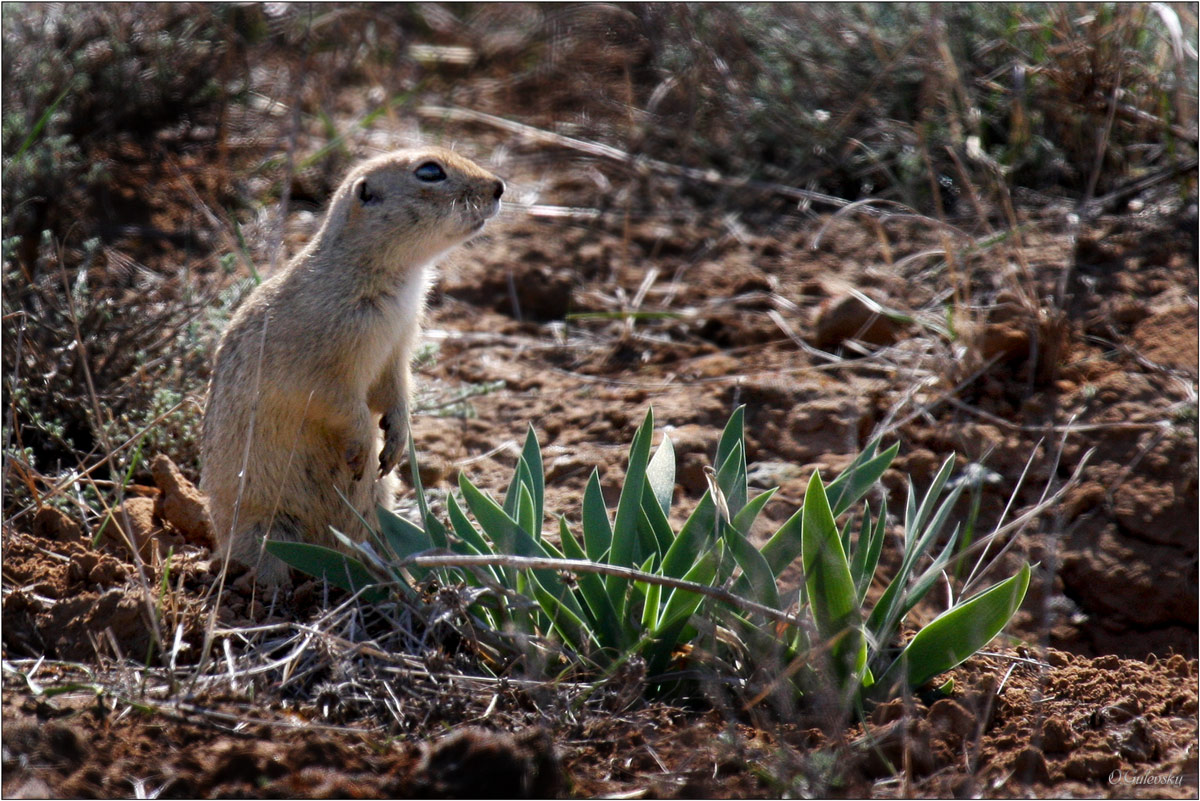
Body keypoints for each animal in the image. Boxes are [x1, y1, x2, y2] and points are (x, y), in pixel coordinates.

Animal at [204, 146, 504, 585]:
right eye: (430, 171)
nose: (499, 187)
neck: (395, 277)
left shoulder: (398, 347)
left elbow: (395, 390)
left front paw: (395, 442)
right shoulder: (321, 366)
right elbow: (340, 404)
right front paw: (364, 446)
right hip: (263, 527)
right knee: (263, 562)